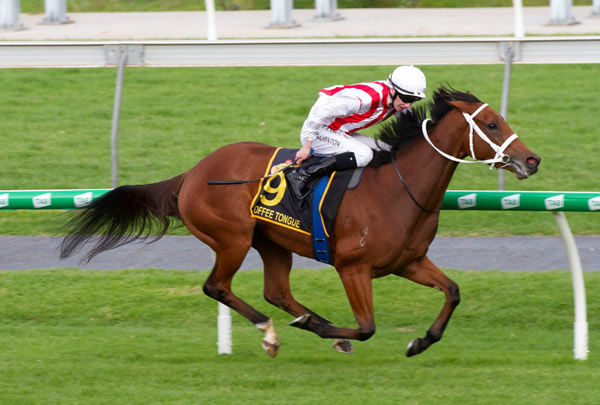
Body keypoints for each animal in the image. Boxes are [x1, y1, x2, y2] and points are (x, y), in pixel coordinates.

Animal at [59, 87, 540, 356]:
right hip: (232, 239)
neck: (398, 188)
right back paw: (275, 332)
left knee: (276, 291)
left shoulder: (408, 262)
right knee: (218, 286)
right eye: (492, 124)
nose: (532, 160)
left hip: (271, 242)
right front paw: (326, 328)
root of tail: (191, 174)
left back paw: (306, 325)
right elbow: (367, 326)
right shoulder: (352, 267)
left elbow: (453, 292)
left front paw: (420, 341)